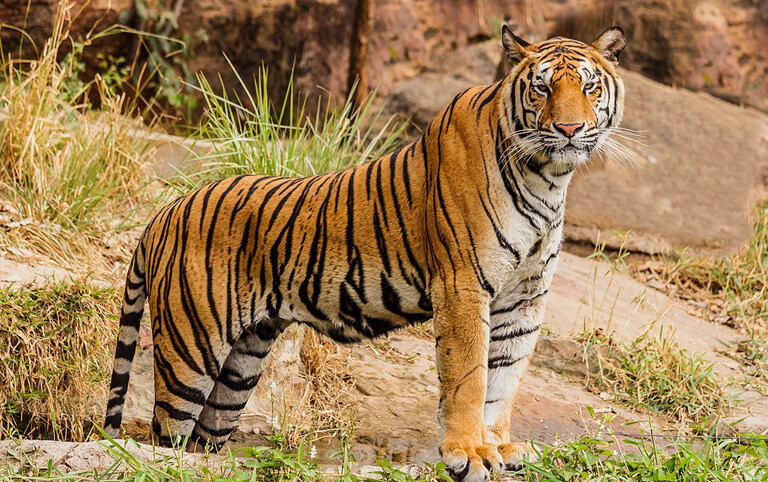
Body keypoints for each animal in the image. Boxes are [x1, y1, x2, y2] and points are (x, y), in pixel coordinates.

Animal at [104, 25, 626, 482]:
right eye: (542, 88)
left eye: (589, 86)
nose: (570, 128)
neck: (548, 178)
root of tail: (164, 212)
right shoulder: (462, 285)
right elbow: (470, 378)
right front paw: (469, 453)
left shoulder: (524, 298)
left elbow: (504, 380)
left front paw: (497, 446)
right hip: (190, 349)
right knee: (164, 436)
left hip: (240, 366)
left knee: (201, 441)